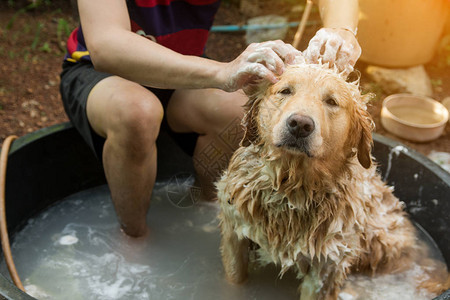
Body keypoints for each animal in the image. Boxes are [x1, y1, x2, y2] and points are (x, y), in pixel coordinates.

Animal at [216, 63, 448, 300]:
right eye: (285, 91)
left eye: (331, 101)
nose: (300, 124)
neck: (291, 189)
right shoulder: (234, 232)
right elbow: (235, 277)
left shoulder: (327, 265)